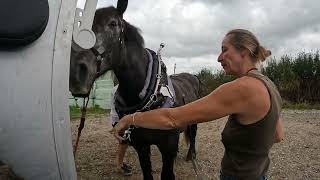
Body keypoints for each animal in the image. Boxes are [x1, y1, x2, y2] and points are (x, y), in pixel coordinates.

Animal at [69, 0, 204, 179]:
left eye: (113, 23)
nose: (76, 72)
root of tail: (193, 76)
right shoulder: (141, 146)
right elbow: (147, 171)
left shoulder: (167, 149)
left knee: (193, 135)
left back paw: (191, 155)